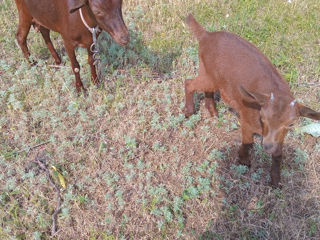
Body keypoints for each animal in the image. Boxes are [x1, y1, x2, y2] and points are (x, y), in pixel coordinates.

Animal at [185, 14, 320, 188]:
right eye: (262, 117)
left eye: (291, 124)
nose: (267, 147)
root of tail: (206, 35)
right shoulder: (248, 121)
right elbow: (248, 143)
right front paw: (243, 161)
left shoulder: (280, 135)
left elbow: (279, 153)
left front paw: (275, 180)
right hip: (209, 73)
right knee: (189, 83)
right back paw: (189, 111)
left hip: (208, 70)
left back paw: (213, 111)